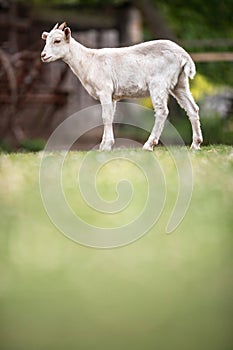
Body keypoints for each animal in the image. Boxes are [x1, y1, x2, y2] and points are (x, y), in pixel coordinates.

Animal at [41, 22, 202, 150]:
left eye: (57, 41)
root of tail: (183, 55)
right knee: (192, 108)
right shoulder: (113, 96)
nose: (43, 55)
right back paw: (196, 144)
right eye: (46, 40)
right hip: (180, 84)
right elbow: (112, 116)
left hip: (159, 83)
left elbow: (105, 116)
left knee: (162, 111)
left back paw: (149, 145)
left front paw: (105, 146)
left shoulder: (104, 90)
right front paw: (104, 145)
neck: (89, 61)